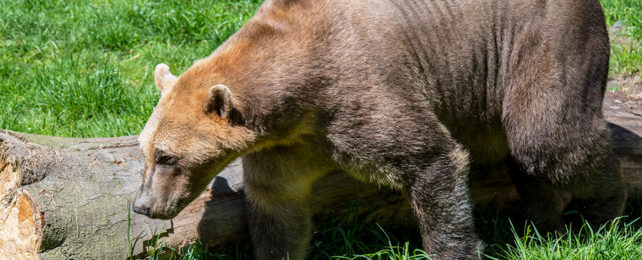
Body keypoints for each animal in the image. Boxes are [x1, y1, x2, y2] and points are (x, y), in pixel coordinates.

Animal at [131, 0, 624, 258]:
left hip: (543, 41)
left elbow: (430, 159)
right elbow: (278, 205)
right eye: (145, 151)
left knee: (549, 139)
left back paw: (606, 213)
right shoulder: (290, 144)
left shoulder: (362, 91)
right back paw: (544, 222)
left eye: (167, 156)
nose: (143, 206)